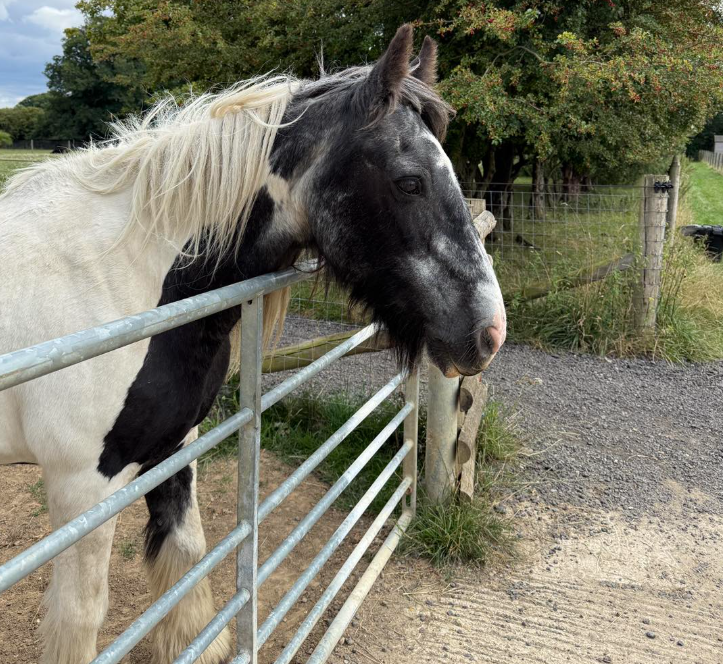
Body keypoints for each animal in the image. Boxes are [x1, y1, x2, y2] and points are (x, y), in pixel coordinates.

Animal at [0, 25, 505, 664]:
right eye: (408, 181)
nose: (490, 331)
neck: (121, 274)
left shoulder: (174, 446)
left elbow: (186, 555)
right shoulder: (82, 489)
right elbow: (79, 615)